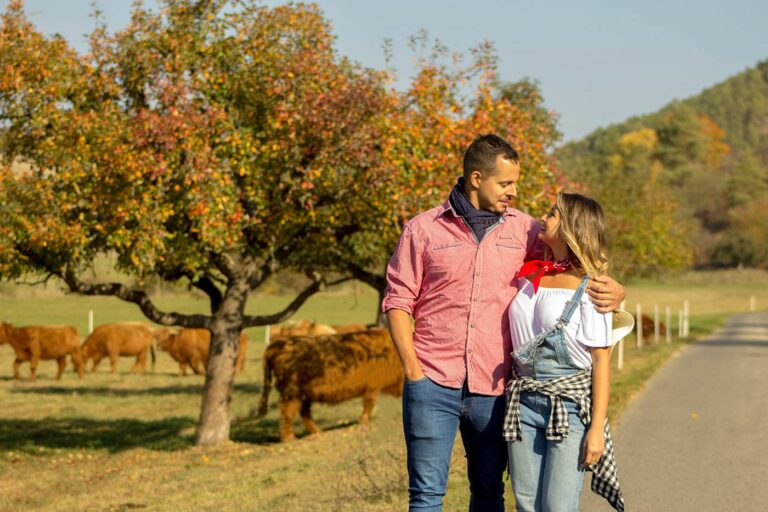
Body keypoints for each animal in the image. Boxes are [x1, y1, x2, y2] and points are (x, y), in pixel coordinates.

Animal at [256, 330, 404, 442]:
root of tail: (277, 345)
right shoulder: (373, 386)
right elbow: (369, 404)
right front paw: (363, 421)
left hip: (303, 395)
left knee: (304, 413)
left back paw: (318, 432)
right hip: (291, 393)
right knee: (287, 413)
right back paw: (290, 438)